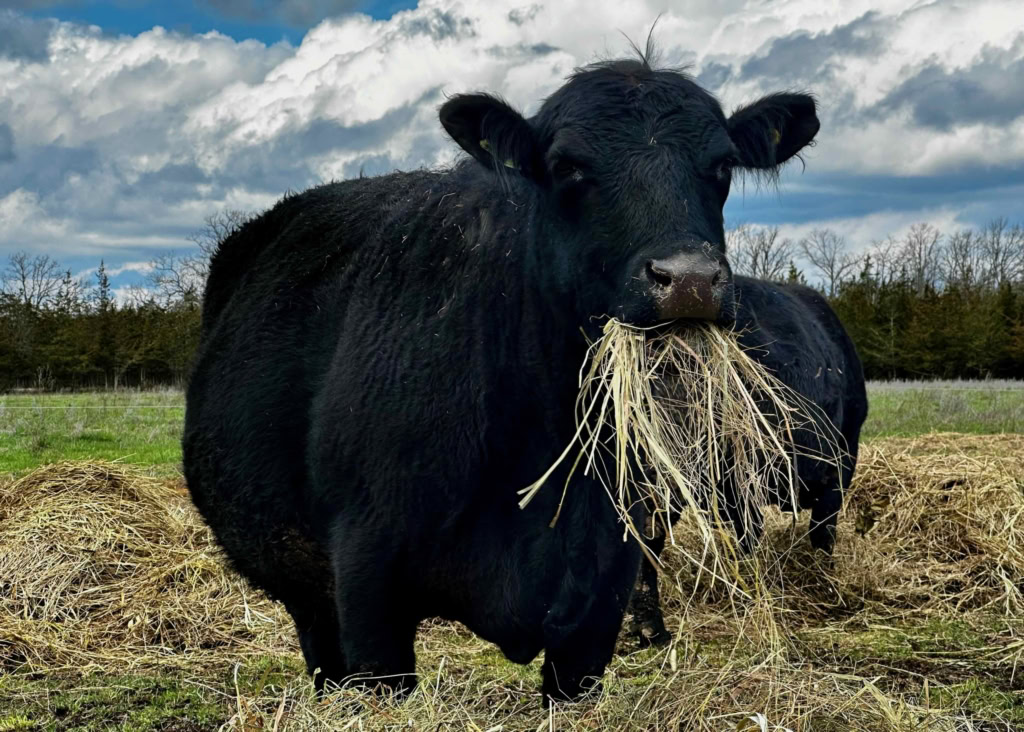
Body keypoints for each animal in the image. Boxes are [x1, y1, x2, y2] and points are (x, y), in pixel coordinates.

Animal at [182, 52, 820, 703]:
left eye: (722, 165)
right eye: (567, 166)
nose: (688, 279)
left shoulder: (601, 588)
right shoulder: (366, 581)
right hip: (305, 588)